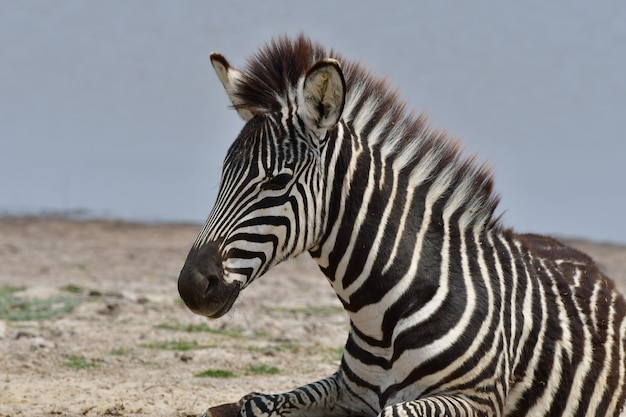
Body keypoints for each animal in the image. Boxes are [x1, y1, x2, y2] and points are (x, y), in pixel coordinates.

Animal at [176, 35, 624, 416]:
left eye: (278, 181)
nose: (191, 287)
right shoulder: (347, 390)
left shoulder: (477, 399)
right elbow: (254, 402)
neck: (378, 316)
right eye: (223, 174)